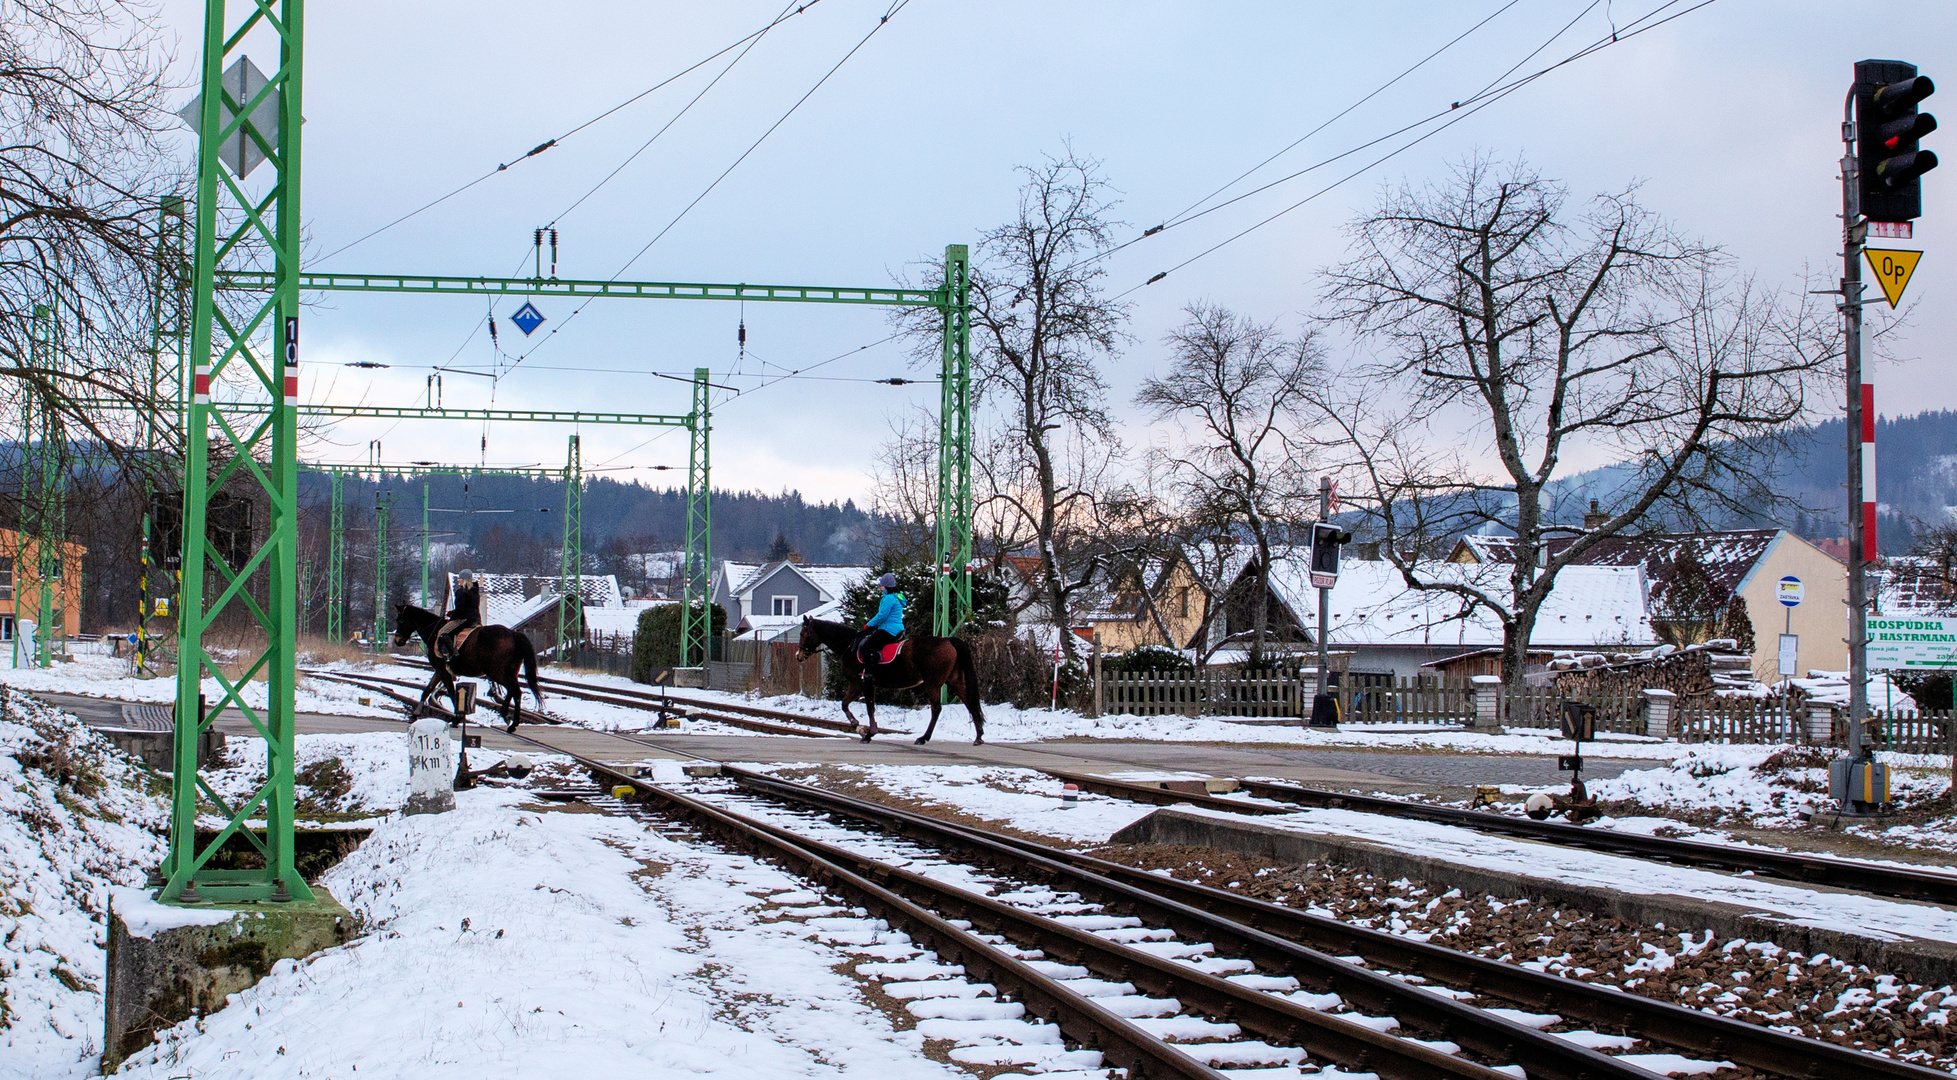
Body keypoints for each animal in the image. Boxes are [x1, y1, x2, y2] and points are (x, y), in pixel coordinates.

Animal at [389, 598, 544, 735]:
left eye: (400, 620)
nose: (397, 640)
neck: (434, 630)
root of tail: (513, 634)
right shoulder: (439, 670)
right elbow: (427, 690)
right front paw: (414, 714)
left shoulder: (443, 671)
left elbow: (451, 693)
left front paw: (457, 719)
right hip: (508, 672)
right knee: (515, 691)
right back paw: (510, 720)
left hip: (497, 672)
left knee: (514, 690)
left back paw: (508, 719)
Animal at [794, 614, 986, 743]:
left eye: (803, 633)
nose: (798, 655)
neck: (849, 646)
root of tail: (948, 640)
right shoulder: (864, 685)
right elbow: (857, 705)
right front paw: (866, 730)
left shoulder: (860, 683)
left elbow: (856, 706)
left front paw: (864, 730)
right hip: (954, 680)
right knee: (969, 702)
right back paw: (979, 736)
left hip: (933, 684)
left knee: (937, 709)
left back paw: (924, 738)